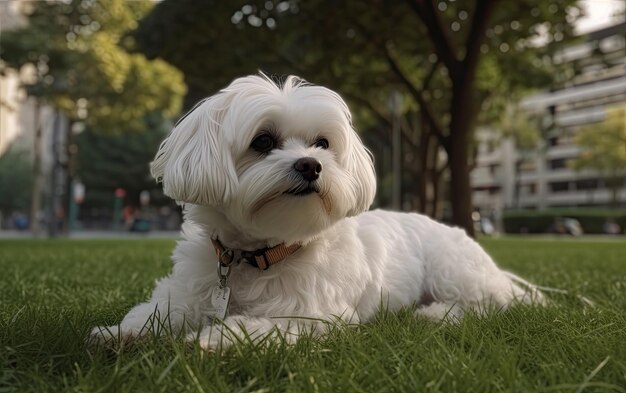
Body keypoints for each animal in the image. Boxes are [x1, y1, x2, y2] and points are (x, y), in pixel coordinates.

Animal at [89, 73, 540, 350]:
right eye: (263, 141)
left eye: (323, 143)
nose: (311, 165)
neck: (257, 256)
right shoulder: (187, 291)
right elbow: (156, 312)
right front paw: (120, 333)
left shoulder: (315, 315)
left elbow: (257, 325)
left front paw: (214, 340)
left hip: (453, 270)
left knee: (486, 306)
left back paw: (434, 314)